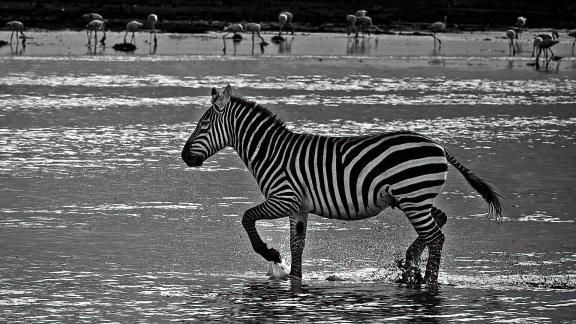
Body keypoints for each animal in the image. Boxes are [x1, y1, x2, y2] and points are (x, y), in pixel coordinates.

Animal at [182, 85, 502, 286]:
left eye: (204, 124)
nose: (185, 157)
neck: (271, 151)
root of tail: (438, 146)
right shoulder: (298, 208)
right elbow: (297, 246)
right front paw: (294, 278)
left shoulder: (284, 198)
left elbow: (246, 217)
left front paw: (270, 254)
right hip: (411, 199)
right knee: (438, 221)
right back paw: (410, 266)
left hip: (412, 197)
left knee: (436, 237)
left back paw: (427, 279)